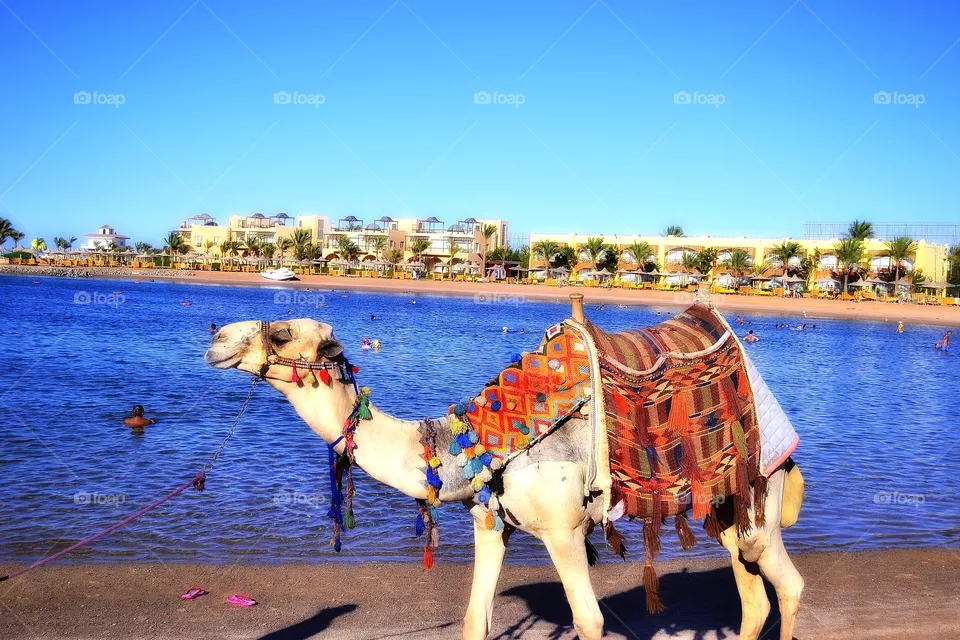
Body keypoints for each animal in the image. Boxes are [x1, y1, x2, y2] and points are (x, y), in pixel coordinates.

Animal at [205, 306, 804, 640]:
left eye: (282, 332)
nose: (216, 338)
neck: (475, 445)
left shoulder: (564, 531)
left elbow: (589, 622)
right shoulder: (490, 524)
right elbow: (475, 621)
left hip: (762, 493)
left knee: (786, 582)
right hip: (728, 505)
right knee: (753, 596)